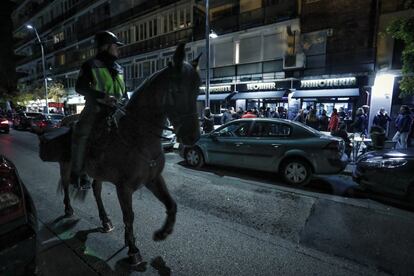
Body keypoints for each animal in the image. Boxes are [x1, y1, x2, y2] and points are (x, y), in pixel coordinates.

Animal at [57, 43, 202, 266]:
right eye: (176, 90)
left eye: (198, 88)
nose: (192, 136)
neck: (137, 135)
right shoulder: (123, 188)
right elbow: (129, 216)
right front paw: (133, 249)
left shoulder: (153, 179)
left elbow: (172, 204)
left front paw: (162, 232)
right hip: (65, 165)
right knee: (66, 184)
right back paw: (68, 208)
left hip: (97, 173)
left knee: (97, 191)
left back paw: (105, 220)